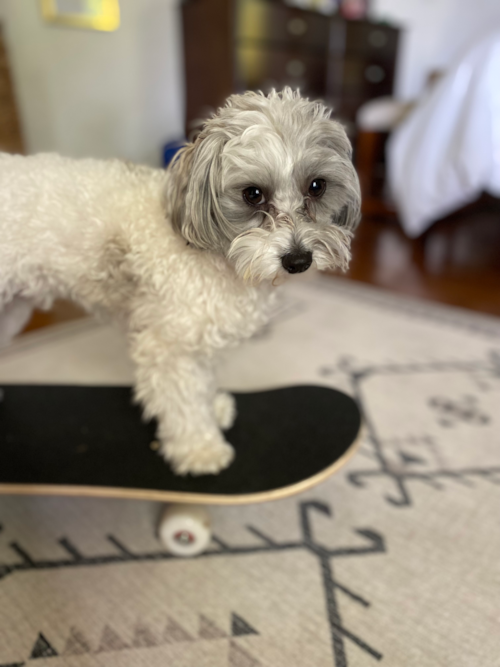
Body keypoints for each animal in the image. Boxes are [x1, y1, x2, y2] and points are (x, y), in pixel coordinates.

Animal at [0, 88, 362, 474]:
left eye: (317, 186)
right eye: (252, 194)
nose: (298, 260)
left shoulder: (201, 332)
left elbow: (201, 383)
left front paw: (212, 409)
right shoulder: (169, 345)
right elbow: (182, 402)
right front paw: (199, 448)